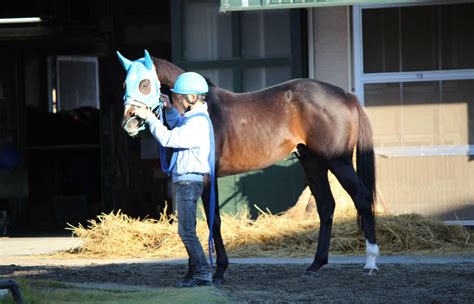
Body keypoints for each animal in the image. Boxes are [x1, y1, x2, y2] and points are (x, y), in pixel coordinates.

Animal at [118, 50, 382, 284]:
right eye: (124, 84)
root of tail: (347, 95)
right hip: (312, 161)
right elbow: (191, 222)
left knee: (361, 197)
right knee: (326, 205)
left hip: (338, 161)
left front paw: (218, 271)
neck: (202, 112)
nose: (129, 121)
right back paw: (315, 265)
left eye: (144, 83)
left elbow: (212, 221)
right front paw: (192, 273)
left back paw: (370, 262)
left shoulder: (207, 177)